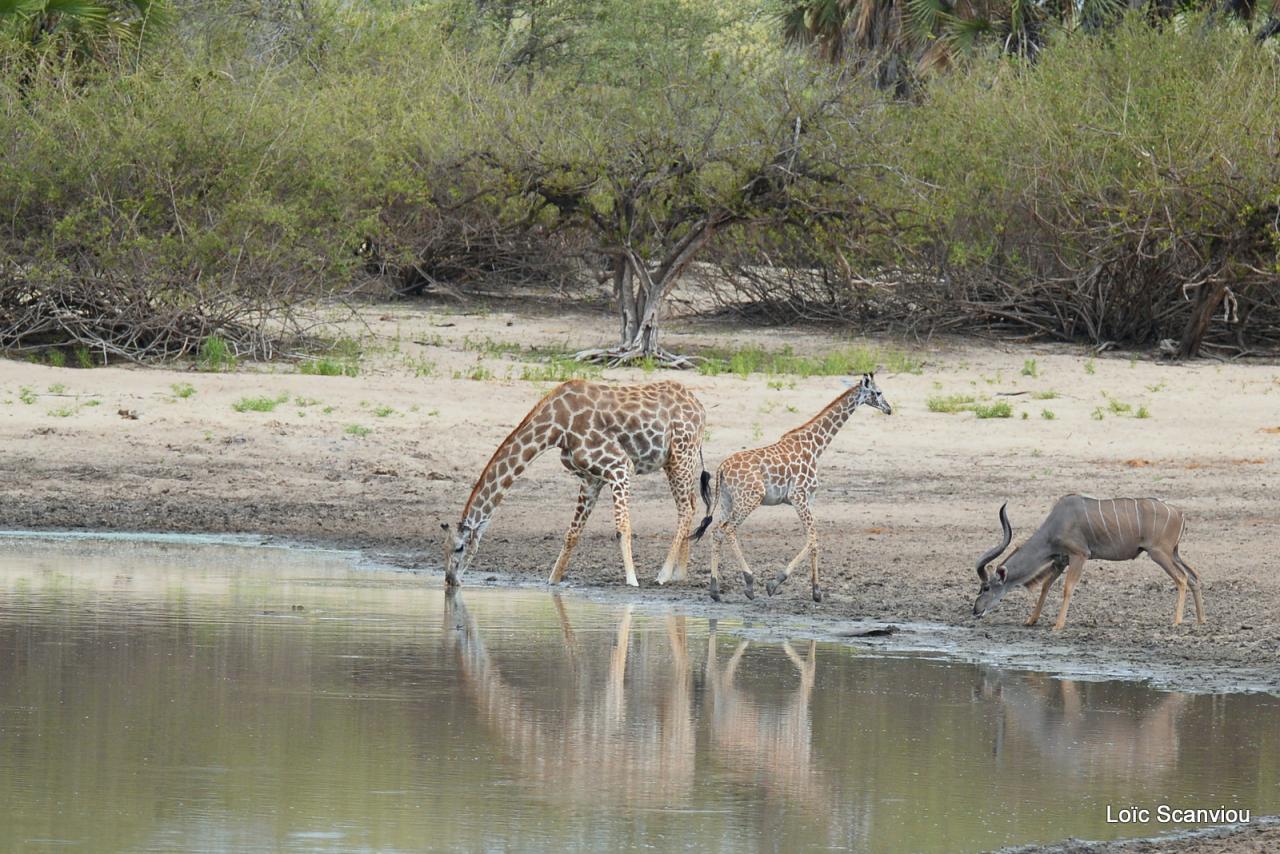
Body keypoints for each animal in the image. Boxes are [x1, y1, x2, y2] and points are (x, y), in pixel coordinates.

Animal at [442, 378, 711, 588]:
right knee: (692, 504)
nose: (449, 579)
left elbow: (622, 527)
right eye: (444, 548)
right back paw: (680, 574)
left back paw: (664, 574)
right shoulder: (591, 478)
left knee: (685, 508)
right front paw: (552, 581)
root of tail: (700, 408)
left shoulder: (620, 466)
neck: (556, 427)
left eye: (459, 547)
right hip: (675, 461)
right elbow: (572, 534)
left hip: (681, 455)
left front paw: (632, 580)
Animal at [691, 376, 890, 604]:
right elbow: (812, 536)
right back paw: (749, 583)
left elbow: (813, 538)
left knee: (717, 532)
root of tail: (722, 468)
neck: (816, 447)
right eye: (878, 392)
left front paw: (816, 591)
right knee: (729, 530)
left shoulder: (809, 498)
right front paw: (775, 584)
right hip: (750, 498)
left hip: (726, 500)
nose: (889, 409)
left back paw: (714, 590)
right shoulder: (798, 495)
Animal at [972, 496, 1203, 632]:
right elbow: (1046, 586)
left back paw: (1177, 621)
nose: (975, 611)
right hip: (1174, 553)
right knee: (1194, 577)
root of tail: (1180, 514)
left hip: (1159, 553)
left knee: (1182, 578)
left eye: (986, 587)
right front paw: (1031, 620)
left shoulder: (1079, 555)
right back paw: (1201, 620)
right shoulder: (1061, 560)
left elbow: (1068, 588)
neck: (1055, 525)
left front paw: (1058, 624)